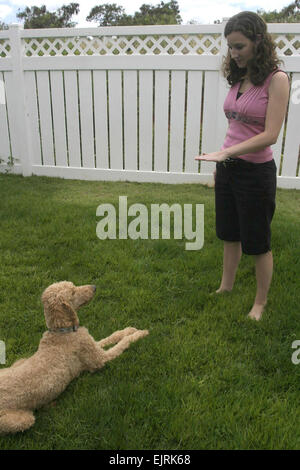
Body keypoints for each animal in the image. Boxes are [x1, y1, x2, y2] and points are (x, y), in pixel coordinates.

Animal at [0, 280, 149, 436]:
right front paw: (140, 333)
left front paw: (129, 330)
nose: (94, 287)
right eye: (72, 292)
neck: (62, 331)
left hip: (20, 361)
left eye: (73, 286)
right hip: (22, 419)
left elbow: (111, 337)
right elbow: (122, 344)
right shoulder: (99, 359)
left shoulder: (91, 344)